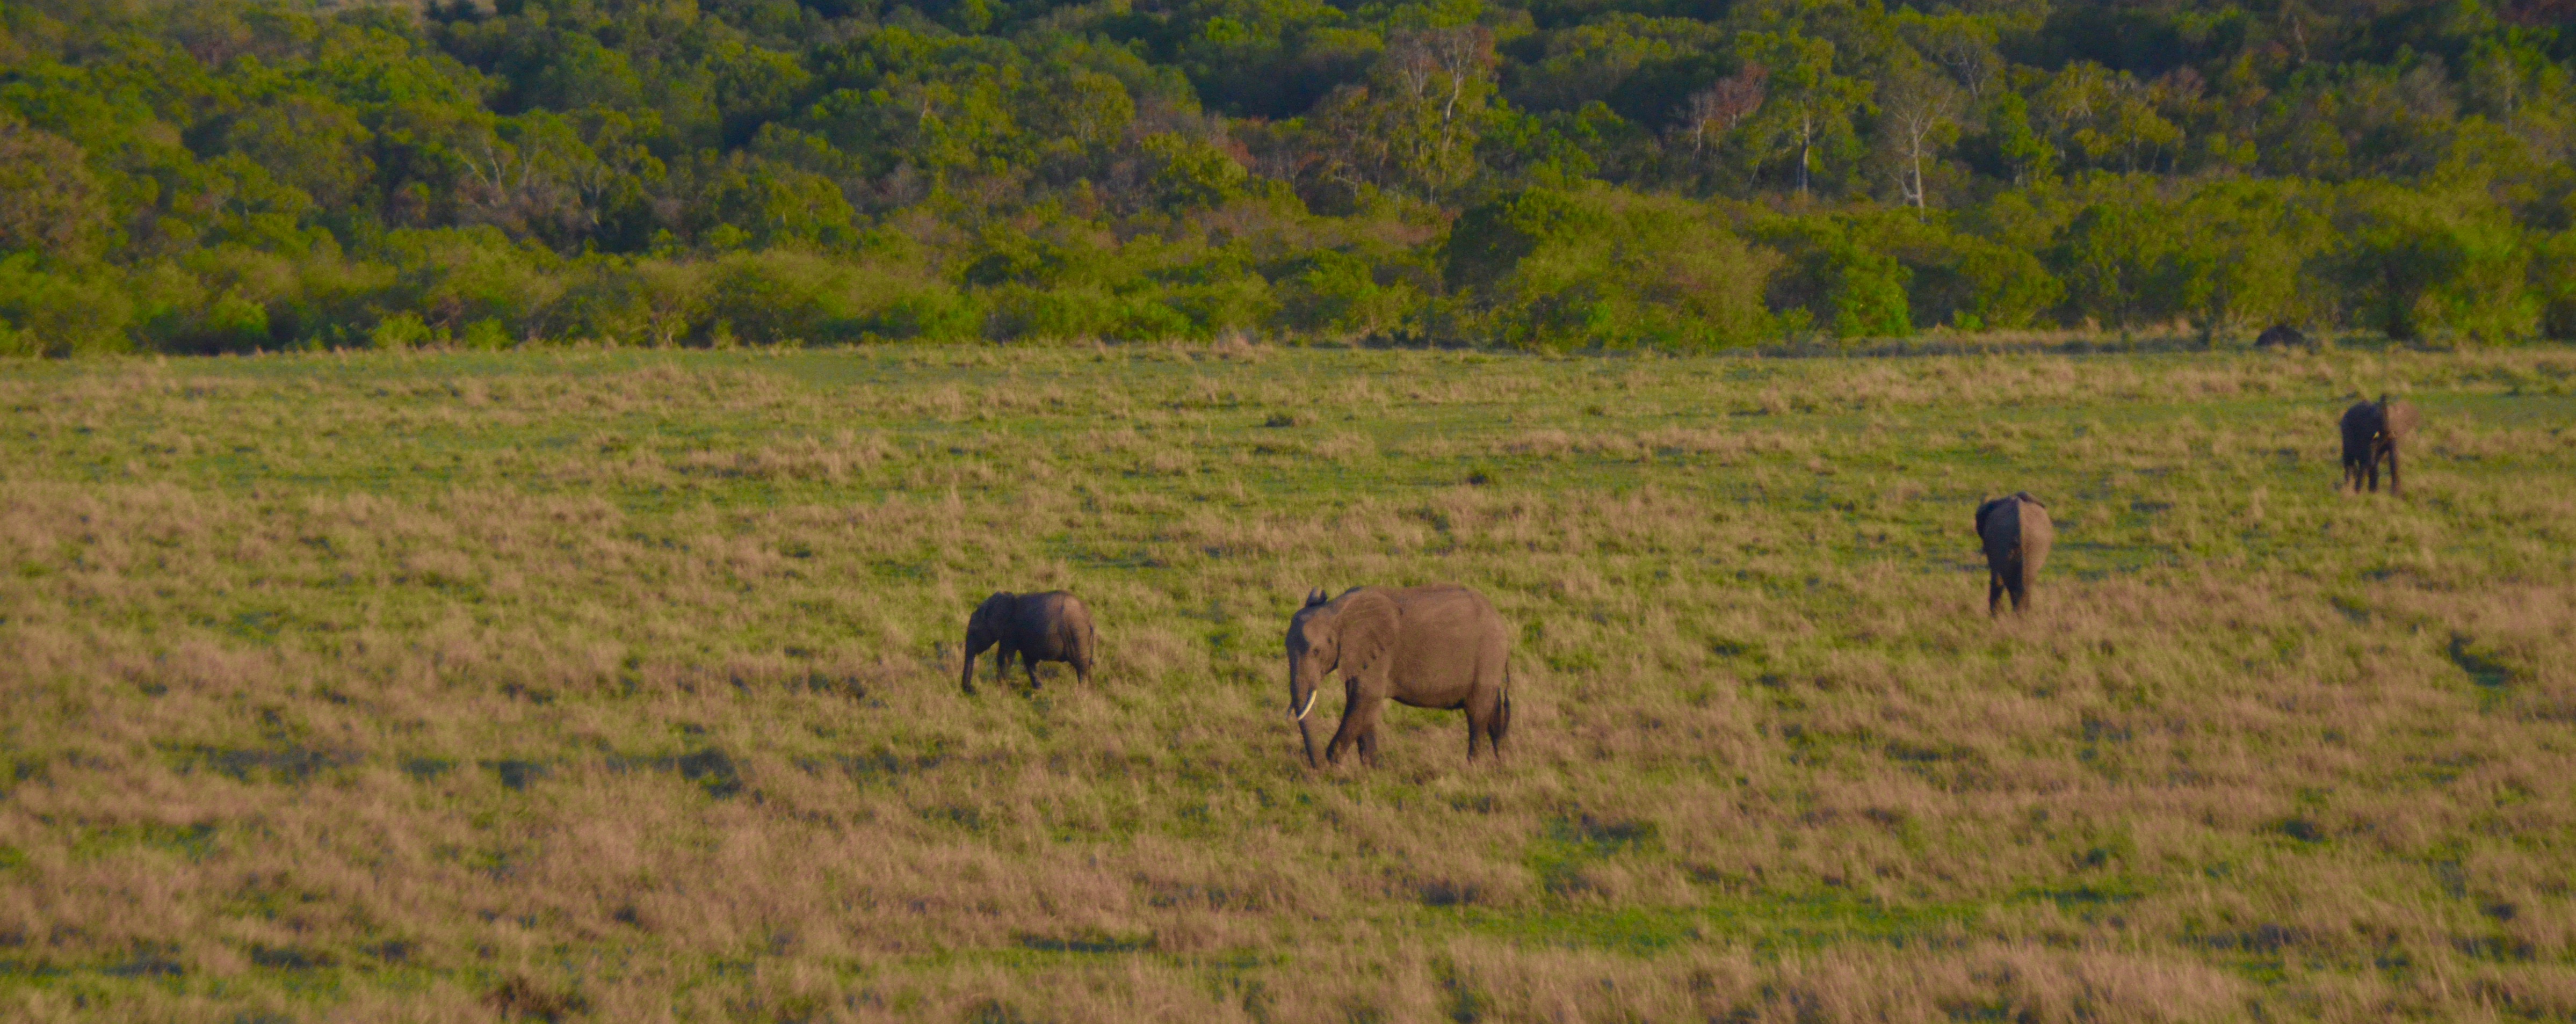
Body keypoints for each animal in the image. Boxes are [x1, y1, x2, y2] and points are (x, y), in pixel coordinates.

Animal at [963, 592, 1092, 694]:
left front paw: (1000, 690)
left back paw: (1081, 693)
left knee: (1081, 666)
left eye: (974, 632)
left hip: (1077, 635)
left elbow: (1005, 658)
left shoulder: (1010, 631)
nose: (971, 690)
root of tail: (1090, 619)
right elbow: (1029, 661)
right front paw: (1040, 689)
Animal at [1283, 584, 1504, 766]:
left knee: (1477, 714)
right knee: (1495, 713)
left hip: (1488, 654)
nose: (1318, 768)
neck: (1336, 611)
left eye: (1316, 652)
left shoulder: (1379, 654)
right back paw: (1502, 764)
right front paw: (1371, 772)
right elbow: (1364, 709)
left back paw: (1473, 768)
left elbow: (1364, 700)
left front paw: (1332, 765)